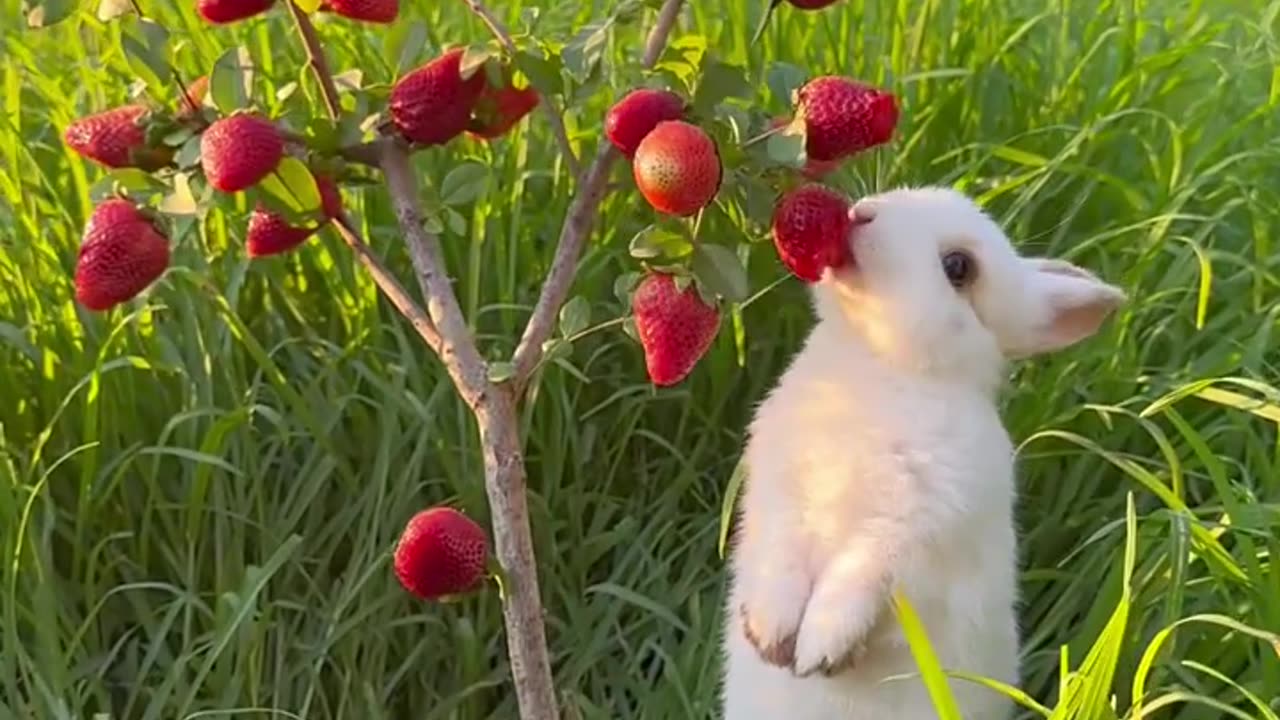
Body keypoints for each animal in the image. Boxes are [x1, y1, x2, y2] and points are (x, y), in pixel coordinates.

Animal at [727, 185, 1126, 717]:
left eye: (958, 267)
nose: (862, 213)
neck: (884, 367)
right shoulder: (780, 494)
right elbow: (779, 558)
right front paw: (768, 635)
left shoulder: (914, 535)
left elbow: (860, 578)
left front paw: (820, 650)